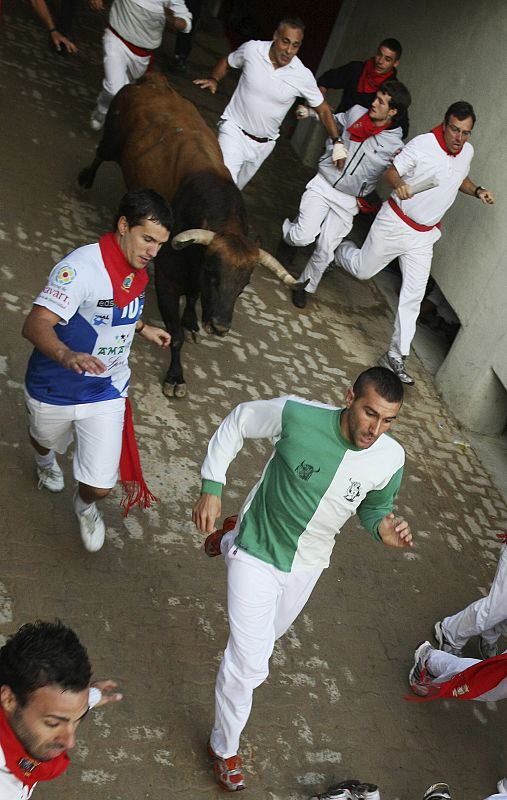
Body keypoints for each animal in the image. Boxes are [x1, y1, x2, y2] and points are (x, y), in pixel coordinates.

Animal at [79, 74, 298, 396]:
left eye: (244, 284)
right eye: (213, 274)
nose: (220, 326)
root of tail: (153, 81)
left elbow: (191, 302)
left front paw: (191, 320)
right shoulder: (167, 282)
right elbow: (175, 335)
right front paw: (175, 377)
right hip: (112, 140)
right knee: (99, 154)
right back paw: (86, 178)